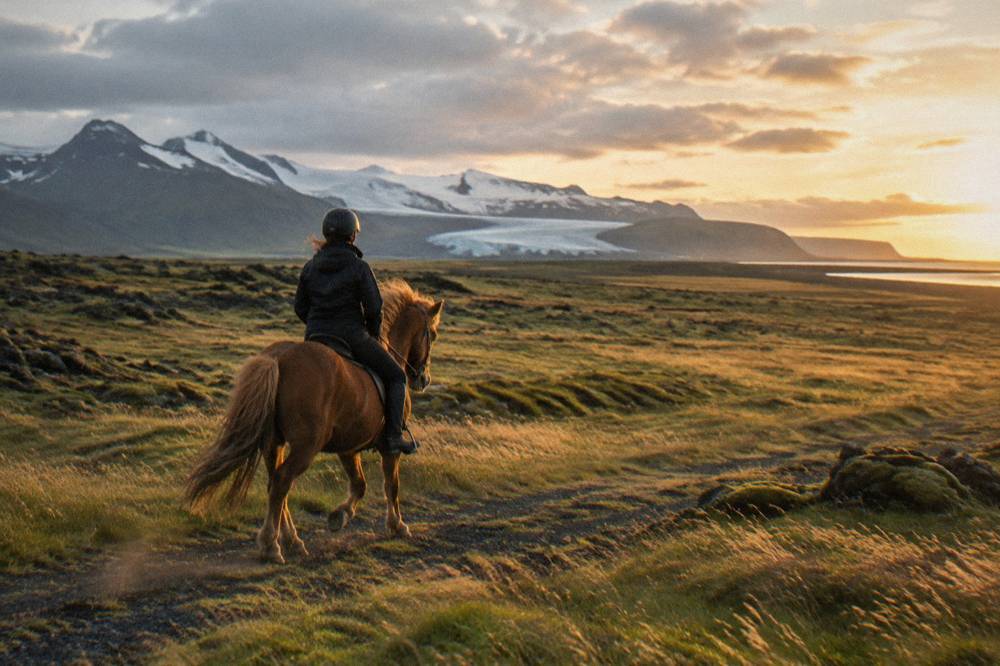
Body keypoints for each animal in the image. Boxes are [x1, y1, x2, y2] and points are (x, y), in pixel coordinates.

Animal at [184, 279, 444, 564]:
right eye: (432, 334)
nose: (423, 379)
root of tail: (278, 358)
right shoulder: (389, 447)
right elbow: (391, 485)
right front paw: (397, 526)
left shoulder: (348, 447)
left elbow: (359, 484)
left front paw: (339, 516)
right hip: (306, 446)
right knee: (282, 481)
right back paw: (271, 545)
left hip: (273, 443)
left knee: (275, 484)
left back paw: (292, 541)